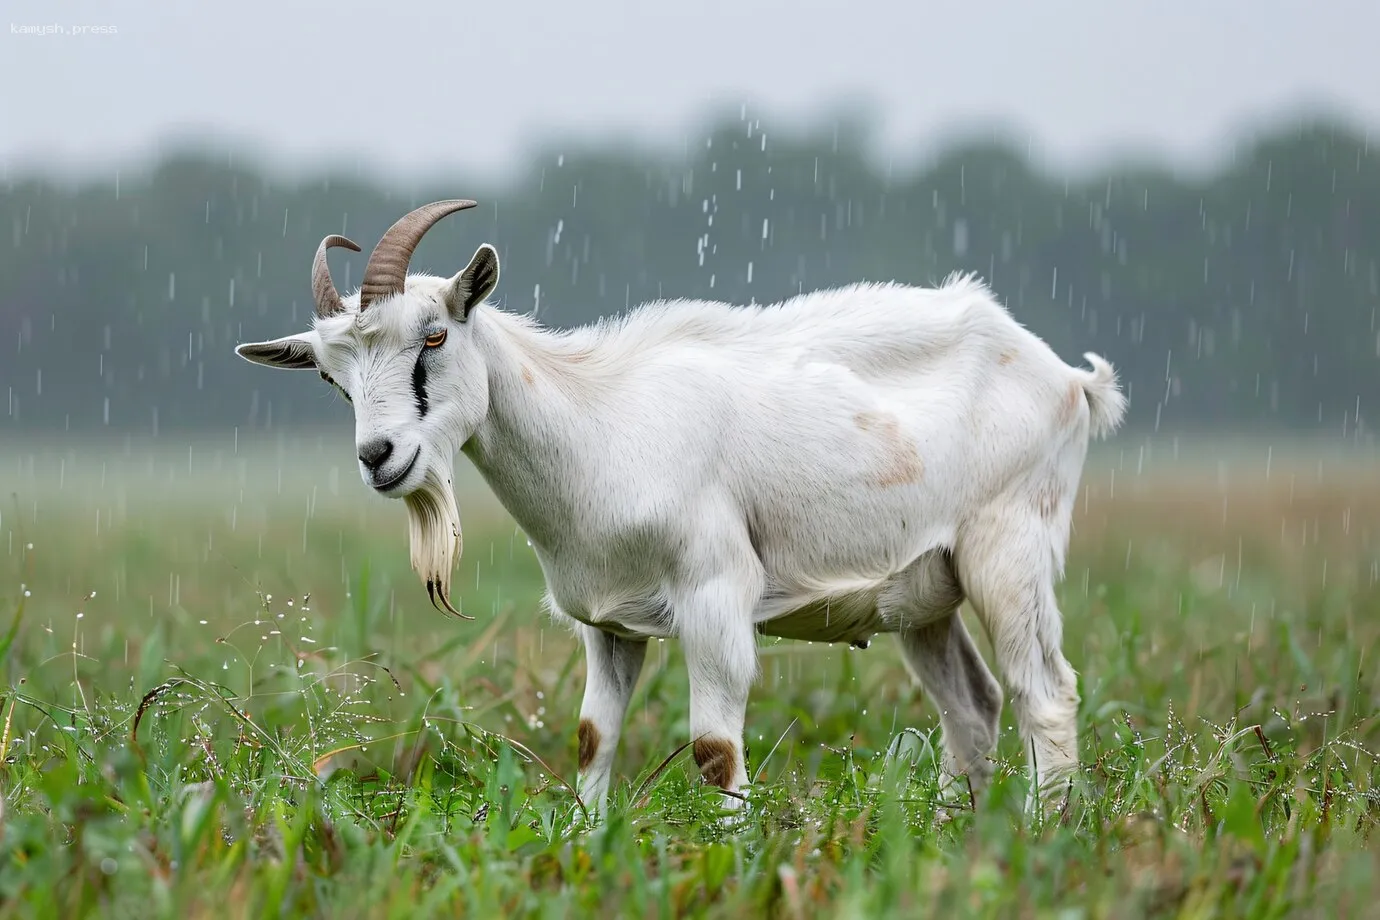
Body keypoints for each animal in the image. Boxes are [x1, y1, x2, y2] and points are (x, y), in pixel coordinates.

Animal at [231, 200, 1126, 811]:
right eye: (330, 375)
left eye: (434, 336)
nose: (380, 457)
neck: (599, 421)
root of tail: (1066, 378)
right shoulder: (607, 624)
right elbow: (593, 739)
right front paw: (584, 841)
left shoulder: (714, 595)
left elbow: (713, 749)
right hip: (925, 590)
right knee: (973, 707)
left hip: (1009, 550)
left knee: (1045, 694)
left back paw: (1043, 834)